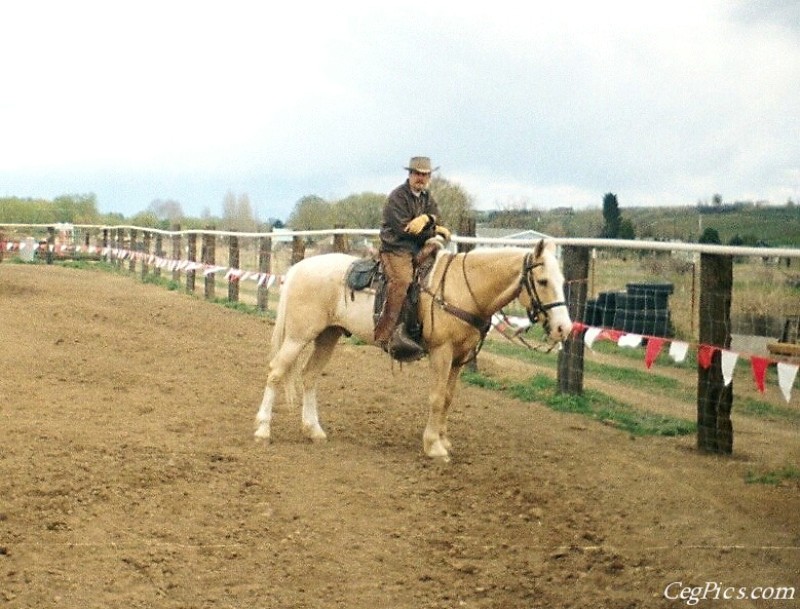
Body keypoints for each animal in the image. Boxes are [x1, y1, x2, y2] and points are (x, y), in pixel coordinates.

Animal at [253, 238, 572, 456]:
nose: (564, 328)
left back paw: (314, 430)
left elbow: (448, 398)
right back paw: (263, 430)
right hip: (298, 336)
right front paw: (433, 446)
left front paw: (443, 440)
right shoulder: (442, 352)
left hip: (328, 335)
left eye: (563, 280)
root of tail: (299, 268)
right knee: (276, 372)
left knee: (309, 376)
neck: (461, 289)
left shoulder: (459, 358)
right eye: (543, 280)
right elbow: (436, 398)